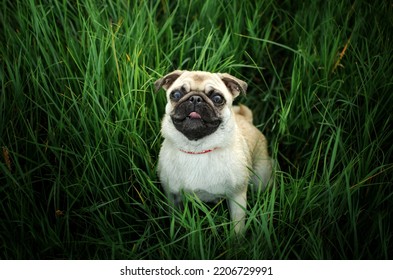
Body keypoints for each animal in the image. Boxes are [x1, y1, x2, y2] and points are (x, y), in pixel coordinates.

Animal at [155, 70, 272, 234]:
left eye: (217, 98)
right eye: (176, 94)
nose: (195, 98)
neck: (197, 149)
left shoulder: (237, 197)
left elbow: (237, 228)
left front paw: (236, 240)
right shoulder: (172, 196)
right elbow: (175, 219)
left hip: (260, 179)